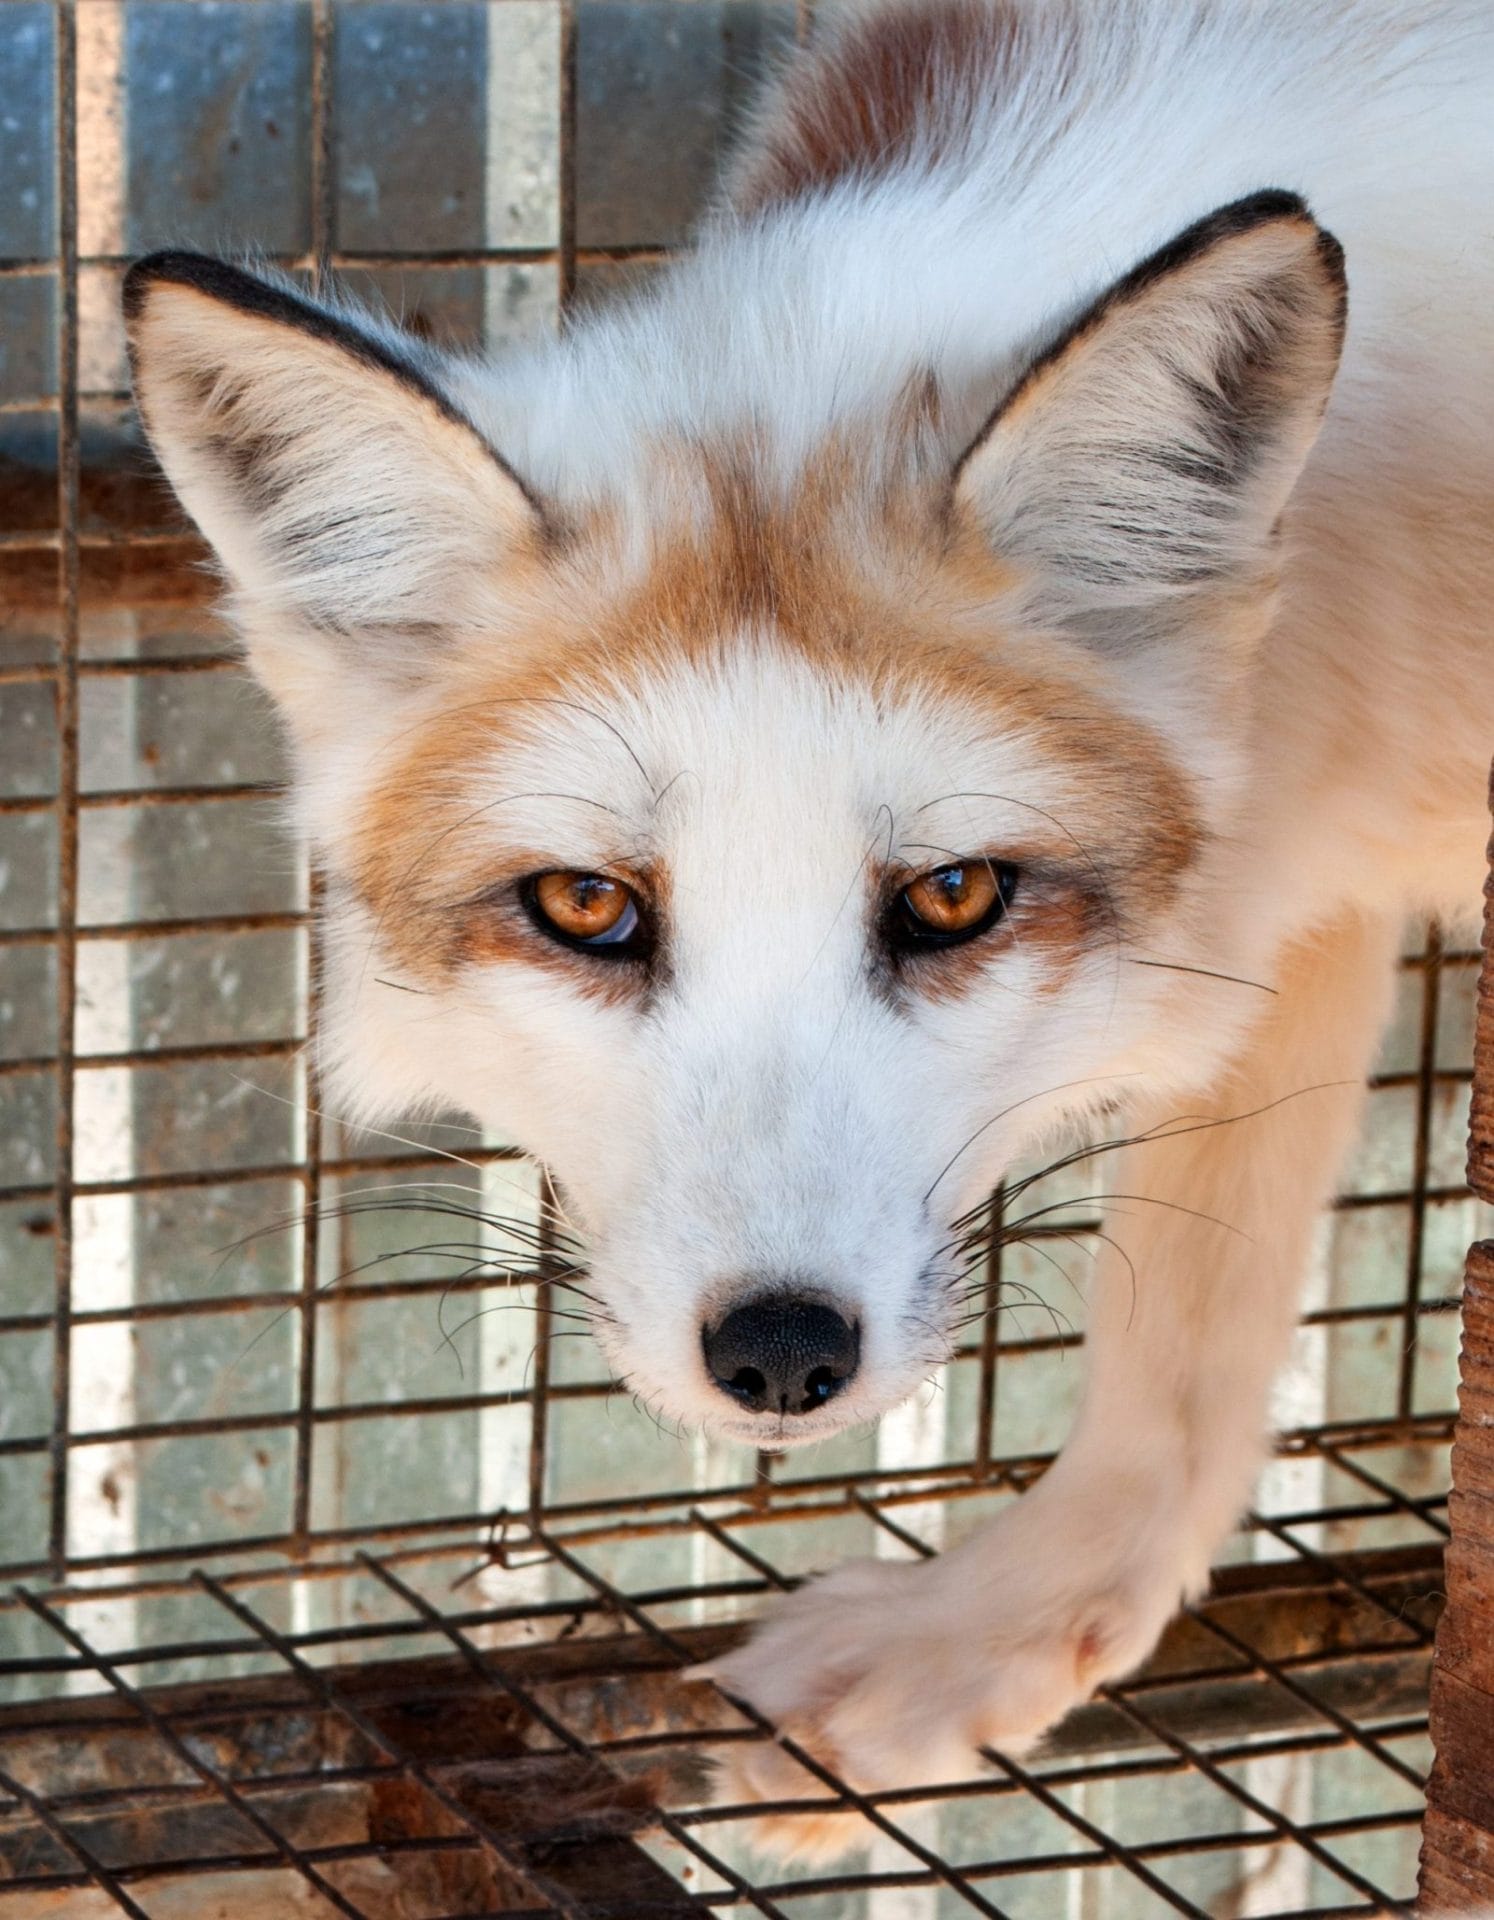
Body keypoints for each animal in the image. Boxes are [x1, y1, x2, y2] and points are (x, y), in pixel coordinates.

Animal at [123, 0, 1492, 1854]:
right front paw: (994, 1642)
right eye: (587, 906)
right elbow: (1178, 1359)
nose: (779, 1358)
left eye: (948, 897)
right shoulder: (1285, 880)